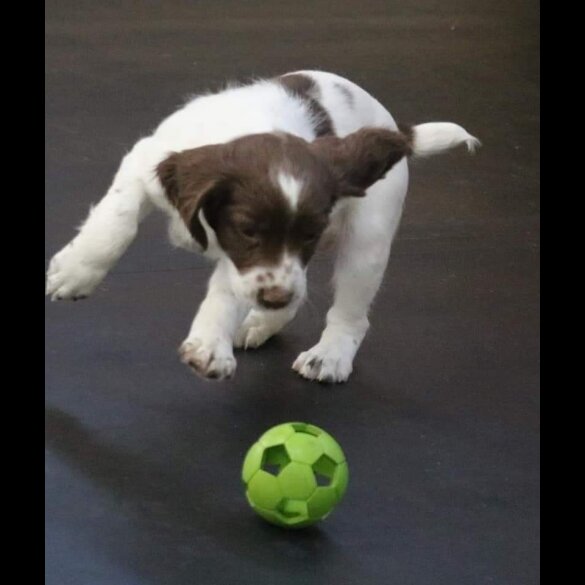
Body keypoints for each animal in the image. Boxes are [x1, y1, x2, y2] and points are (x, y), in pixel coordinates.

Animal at [45, 70, 480, 380]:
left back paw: (328, 355)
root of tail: (393, 129)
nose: (274, 297)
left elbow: (227, 291)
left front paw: (209, 345)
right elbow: (115, 224)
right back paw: (261, 322)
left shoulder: (247, 262)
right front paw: (74, 274)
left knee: (350, 311)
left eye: (310, 233)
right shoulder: (146, 163)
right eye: (249, 230)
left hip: (368, 240)